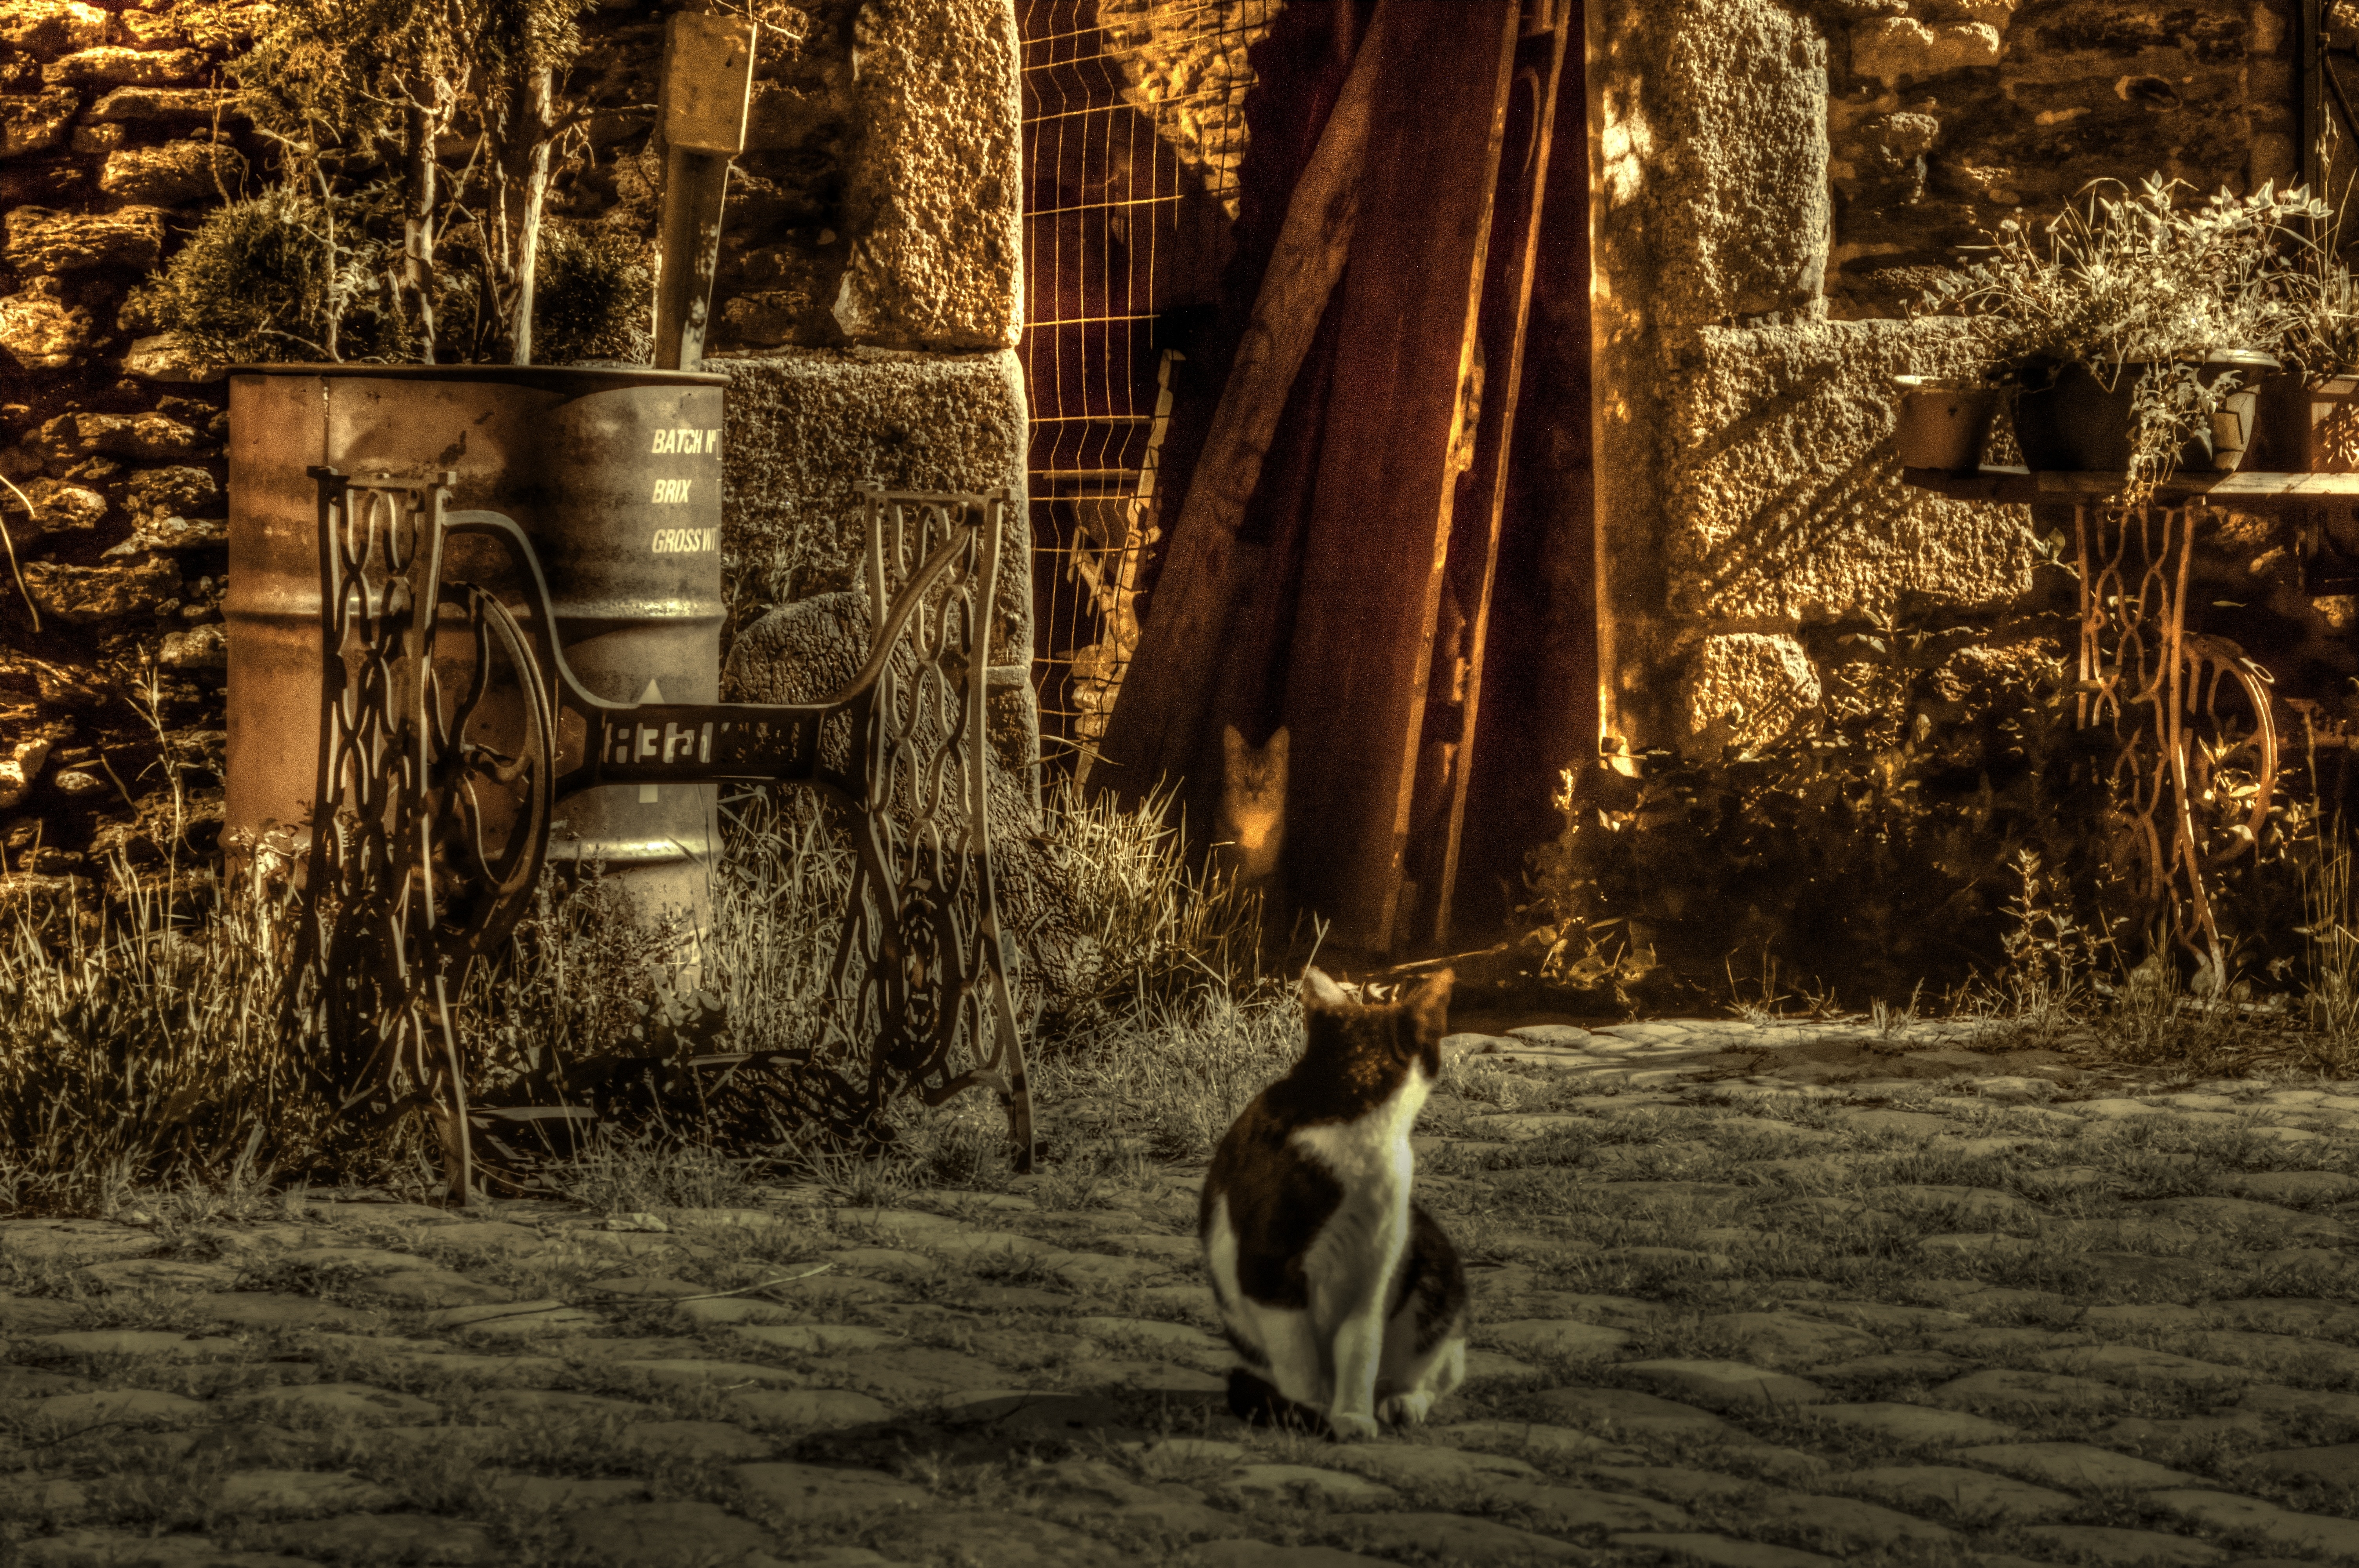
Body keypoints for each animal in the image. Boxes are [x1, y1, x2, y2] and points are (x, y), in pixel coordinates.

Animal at [1208, 971, 1462, 1434]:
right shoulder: (1266, 1268)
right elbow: (1297, 1361)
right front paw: (1307, 1411)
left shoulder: (1376, 1268)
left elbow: (1360, 1345)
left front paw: (1352, 1416)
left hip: (1434, 1263)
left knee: (1432, 1367)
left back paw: (1402, 1401)